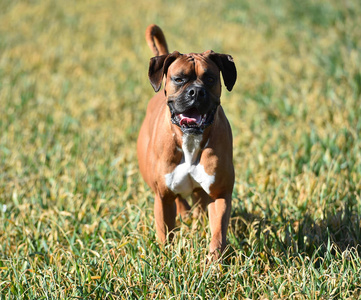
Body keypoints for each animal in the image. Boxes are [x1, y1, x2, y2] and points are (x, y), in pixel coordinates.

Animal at [136, 24, 235, 258]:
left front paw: (214, 262)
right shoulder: (163, 197)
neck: (190, 139)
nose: (196, 91)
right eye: (179, 79)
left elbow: (218, 234)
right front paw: (166, 258)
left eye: (210, 78)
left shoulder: (220, 193)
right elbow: (165, 233)